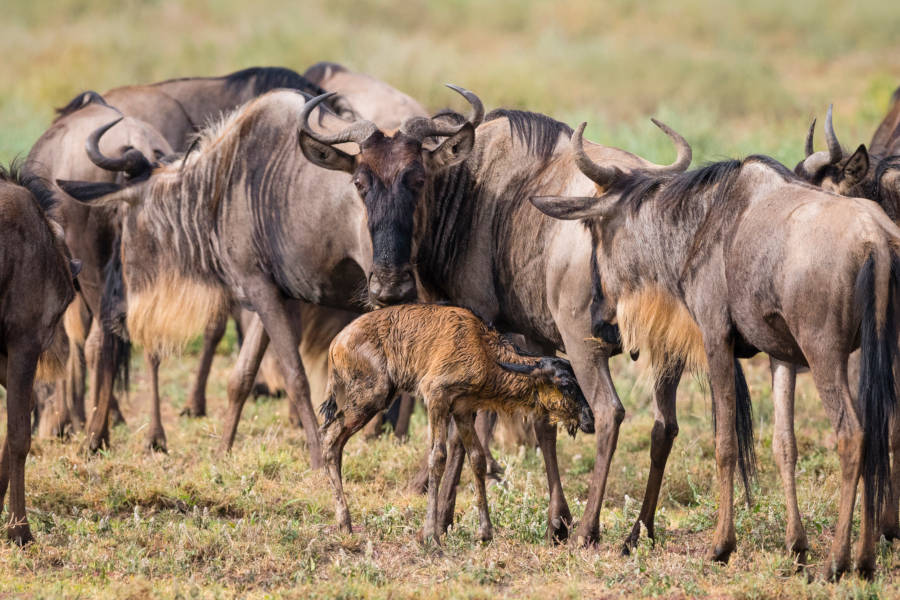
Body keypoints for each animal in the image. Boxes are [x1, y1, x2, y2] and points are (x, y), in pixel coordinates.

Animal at [532, 122, 900, 579]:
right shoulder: (782, 354)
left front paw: (722, 546)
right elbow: (784, 444)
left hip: (826, 354)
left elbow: (725, 443)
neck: (703, 225)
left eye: (593, 232)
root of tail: (875, 239)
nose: (600, 320)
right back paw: (865, 559)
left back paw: (838, 561)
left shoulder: (715, 337)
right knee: (879, 430)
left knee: (853, 433)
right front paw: (796, 547)